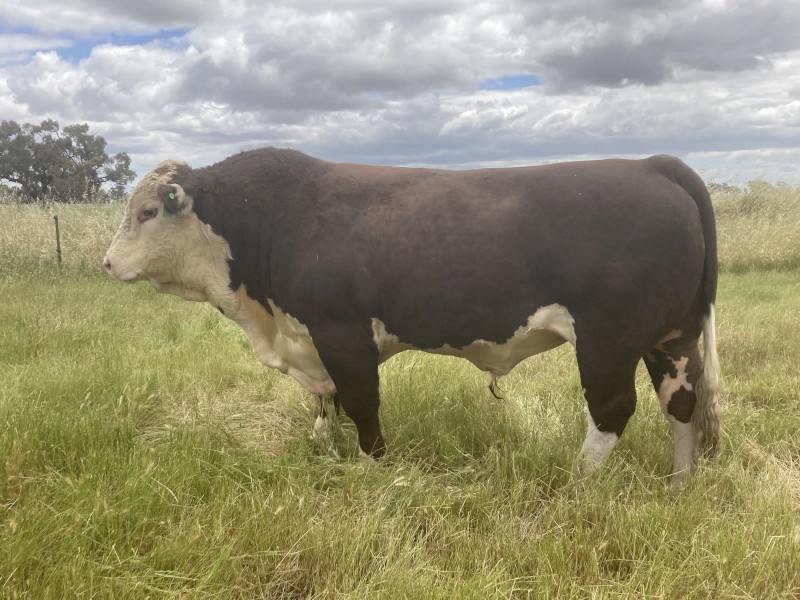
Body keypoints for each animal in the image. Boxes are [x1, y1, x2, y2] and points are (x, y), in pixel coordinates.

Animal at [104, 148, 721, 484]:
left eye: (148, 211)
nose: (106, 262)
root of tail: (651, 165)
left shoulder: (341, 332)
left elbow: (360, 403)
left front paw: (374, 468)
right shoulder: (313, 341)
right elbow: (325, 408)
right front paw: (330, 451)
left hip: (608, 340)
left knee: (613, 410)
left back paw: (578, 483)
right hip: (671, 336)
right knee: (681, 403)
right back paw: (679, 484)